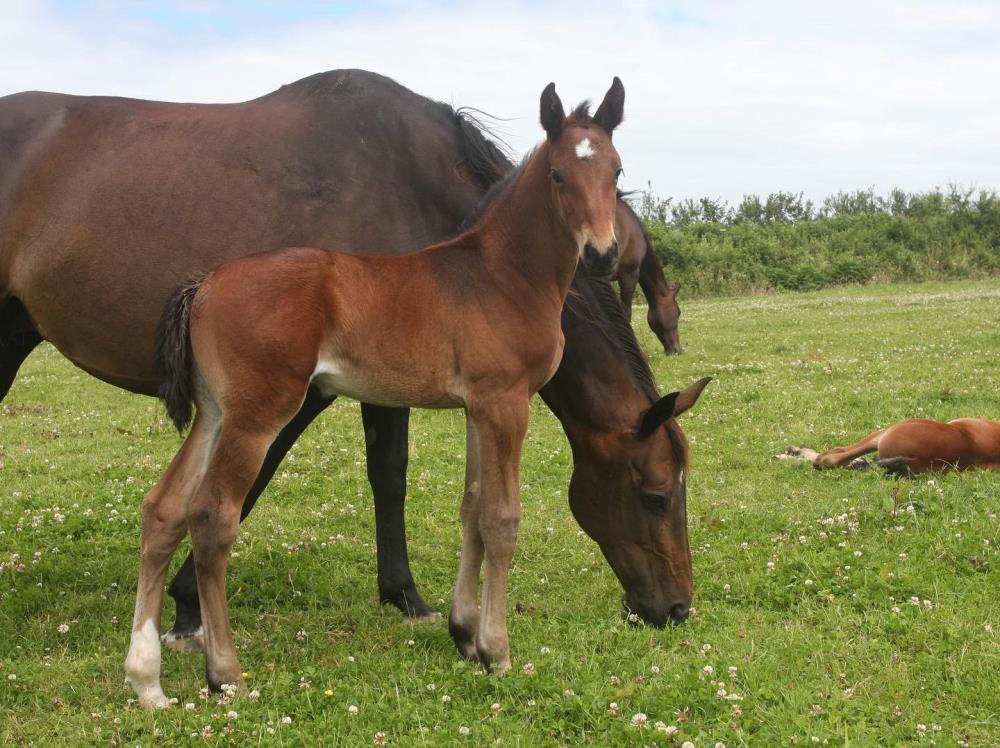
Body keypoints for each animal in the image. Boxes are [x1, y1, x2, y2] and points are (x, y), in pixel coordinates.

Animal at [125, 79, 636, 712]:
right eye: (560, 175)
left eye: (616, 170)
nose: (602, 254)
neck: (501, 275)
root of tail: (205, 284)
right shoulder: (507, 403)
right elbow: (501, 519)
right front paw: (497, 652)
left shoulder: (477, 407)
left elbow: (471, 510)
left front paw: (465, 635)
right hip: (255, 417)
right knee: (212, 518)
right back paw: (225, 673)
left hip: (215, 414)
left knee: (163, 510)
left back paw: (146, 681)